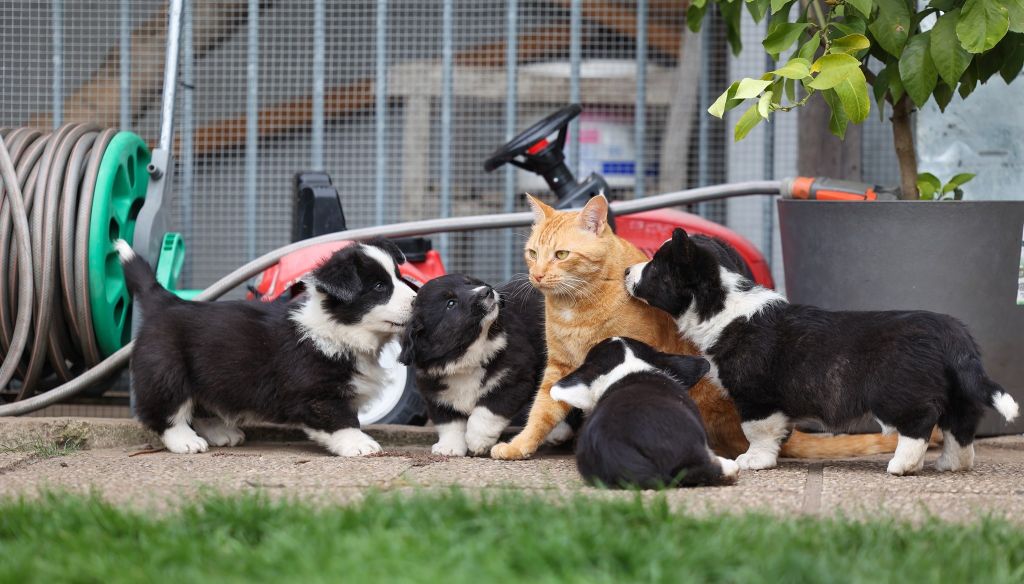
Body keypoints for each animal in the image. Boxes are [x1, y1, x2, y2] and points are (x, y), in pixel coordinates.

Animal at [115, 236, 411, 454]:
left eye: (398, 277)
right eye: (379, 286)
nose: (417, 298)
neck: (341, 329)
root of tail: (165, 302)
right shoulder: (318, 392)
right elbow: (341, 419)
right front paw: (360, 444)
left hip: (209, 377)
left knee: (201, 406)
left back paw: (221, 432)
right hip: (167, 371)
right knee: (165, 411)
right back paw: (185, 441)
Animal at [399, 272, 565, 454]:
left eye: (470, 283)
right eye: (451, 303)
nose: (487, 291)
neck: (466, 356)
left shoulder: (514, 380)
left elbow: (487, 410)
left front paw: (477, 440)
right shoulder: (435, 395)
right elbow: (449, 423)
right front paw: (449, 447)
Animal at [491, 195, 901, 459]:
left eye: (561, 255)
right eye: (532, 253)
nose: (536, 275)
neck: (575, 304)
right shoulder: (560, 366)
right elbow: (542, 409)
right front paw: (521, 445)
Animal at [618, 226, 1019, 473]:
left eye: (654, 267)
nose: (625, 272)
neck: (723, 304)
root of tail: (951, 332)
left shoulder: (755, 398)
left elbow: (757, 433)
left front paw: (754, 461)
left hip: (899, 393)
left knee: (920, 423)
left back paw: (902, 465)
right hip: (958, 393)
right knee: (961, 425)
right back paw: (954, 464)